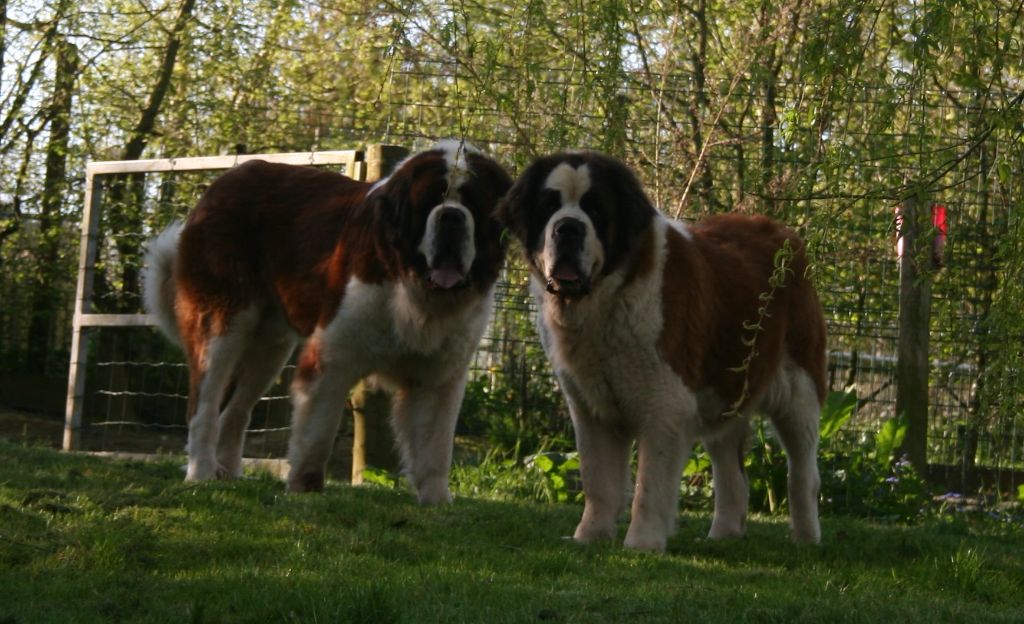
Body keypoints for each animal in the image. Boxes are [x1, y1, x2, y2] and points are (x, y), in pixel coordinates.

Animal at [144, 141, 512, 502]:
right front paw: (305, 489)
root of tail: (223, 182)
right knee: (203, 407)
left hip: (270, 347)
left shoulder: (439, 376)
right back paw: (201, 474)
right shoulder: (334, 356)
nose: (451, 216)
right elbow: (318, 430)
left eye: (473, 204)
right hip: (221, 323)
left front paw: (437, 502)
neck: (413, 287)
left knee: (236, 411)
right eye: (431, 201)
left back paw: (230, 473)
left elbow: (435, 447)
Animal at [499, 150, 827, 549]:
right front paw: (590, 536)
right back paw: (724, 534)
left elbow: (650, 484)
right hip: (725, 390)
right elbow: (598, 480)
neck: (608, 294)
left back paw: (806, 537)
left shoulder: (664, 402)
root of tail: (783, 232)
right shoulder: (591, 409)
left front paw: (642, 544)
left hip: (800, 389)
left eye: (595, 210)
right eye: (549, 206)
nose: (568, 228)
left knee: (803, 471)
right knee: (731, 469)